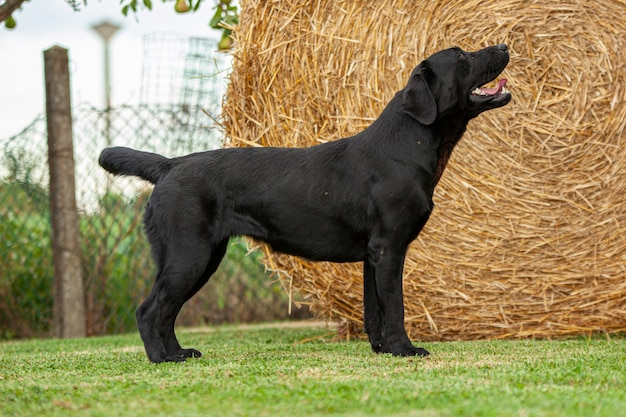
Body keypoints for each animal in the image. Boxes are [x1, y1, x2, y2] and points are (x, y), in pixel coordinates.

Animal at [98, 42, 508, 360]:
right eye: (461, 55)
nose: (504, 46)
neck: (408, 144)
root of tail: (170, 165)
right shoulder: (389, 248)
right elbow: (394, 306)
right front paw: (405, 350)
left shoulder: (372, 256)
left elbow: (373, 311)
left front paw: (382, 349)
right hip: (189, 255)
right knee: (149, 310)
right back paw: (162, 359)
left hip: (201, 258)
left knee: (166, 312)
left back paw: (179, 353)